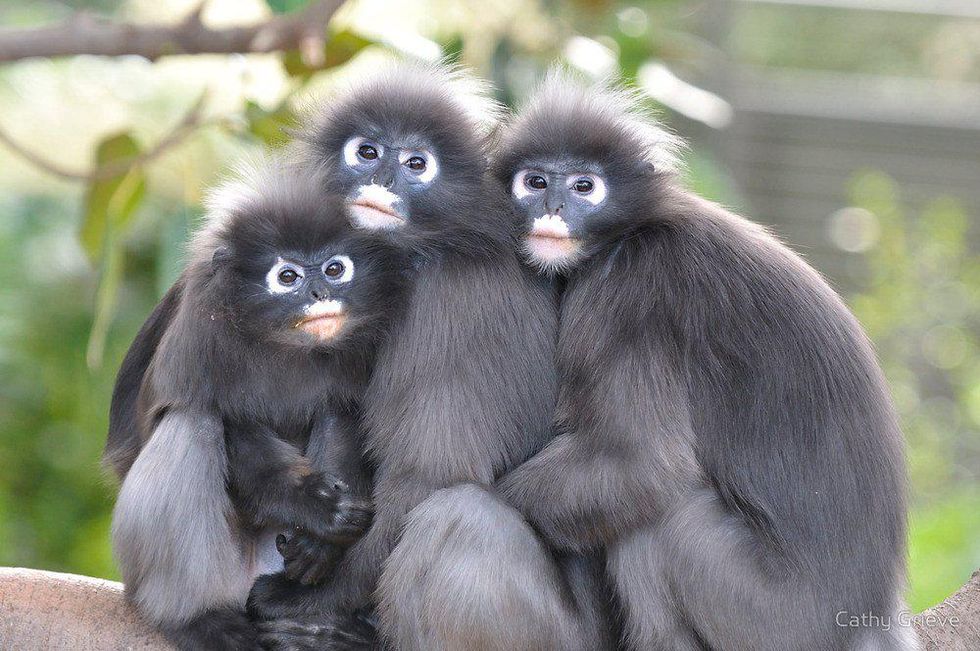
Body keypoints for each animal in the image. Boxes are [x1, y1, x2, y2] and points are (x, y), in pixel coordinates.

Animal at [110, 161, 412, 650]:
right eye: (287, 277)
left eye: (335, 269)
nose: (319, 296)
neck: (285, 343)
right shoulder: (198, 326)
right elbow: (222, 420)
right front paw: (310, 505)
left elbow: (346, 413)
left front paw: (320, 543)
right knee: (191, 424)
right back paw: (199, 619)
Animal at [456, 74, 916, 651]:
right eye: (535, 182)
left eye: (584, 187)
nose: (553, 209)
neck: (639, 228)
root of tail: (873, 613)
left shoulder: (631, 289)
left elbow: (638, 461)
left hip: (777, 616)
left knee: (665, 522)